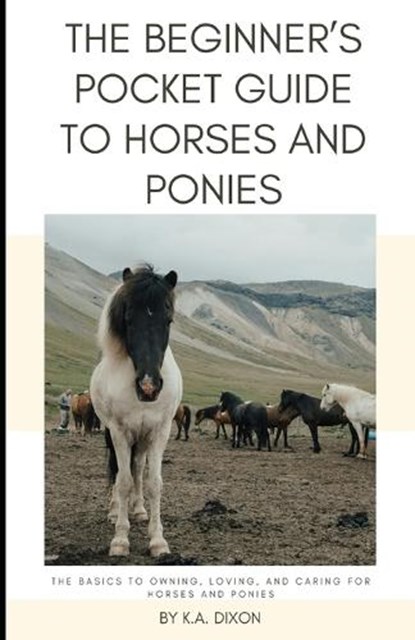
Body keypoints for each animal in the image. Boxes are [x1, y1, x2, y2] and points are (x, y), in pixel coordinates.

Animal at [90, 265, 182, 557]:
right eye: (128, 319)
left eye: (168, 320)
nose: (149, 386)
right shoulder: (119, 431)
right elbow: (123, 481)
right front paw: (120, 539)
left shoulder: (160, 431)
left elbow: (153, 482)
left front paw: (158, 540)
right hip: (113, 433)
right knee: (118, 470)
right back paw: (114, 512)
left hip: (142, 438)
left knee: (139, 467)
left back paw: (139, 510)